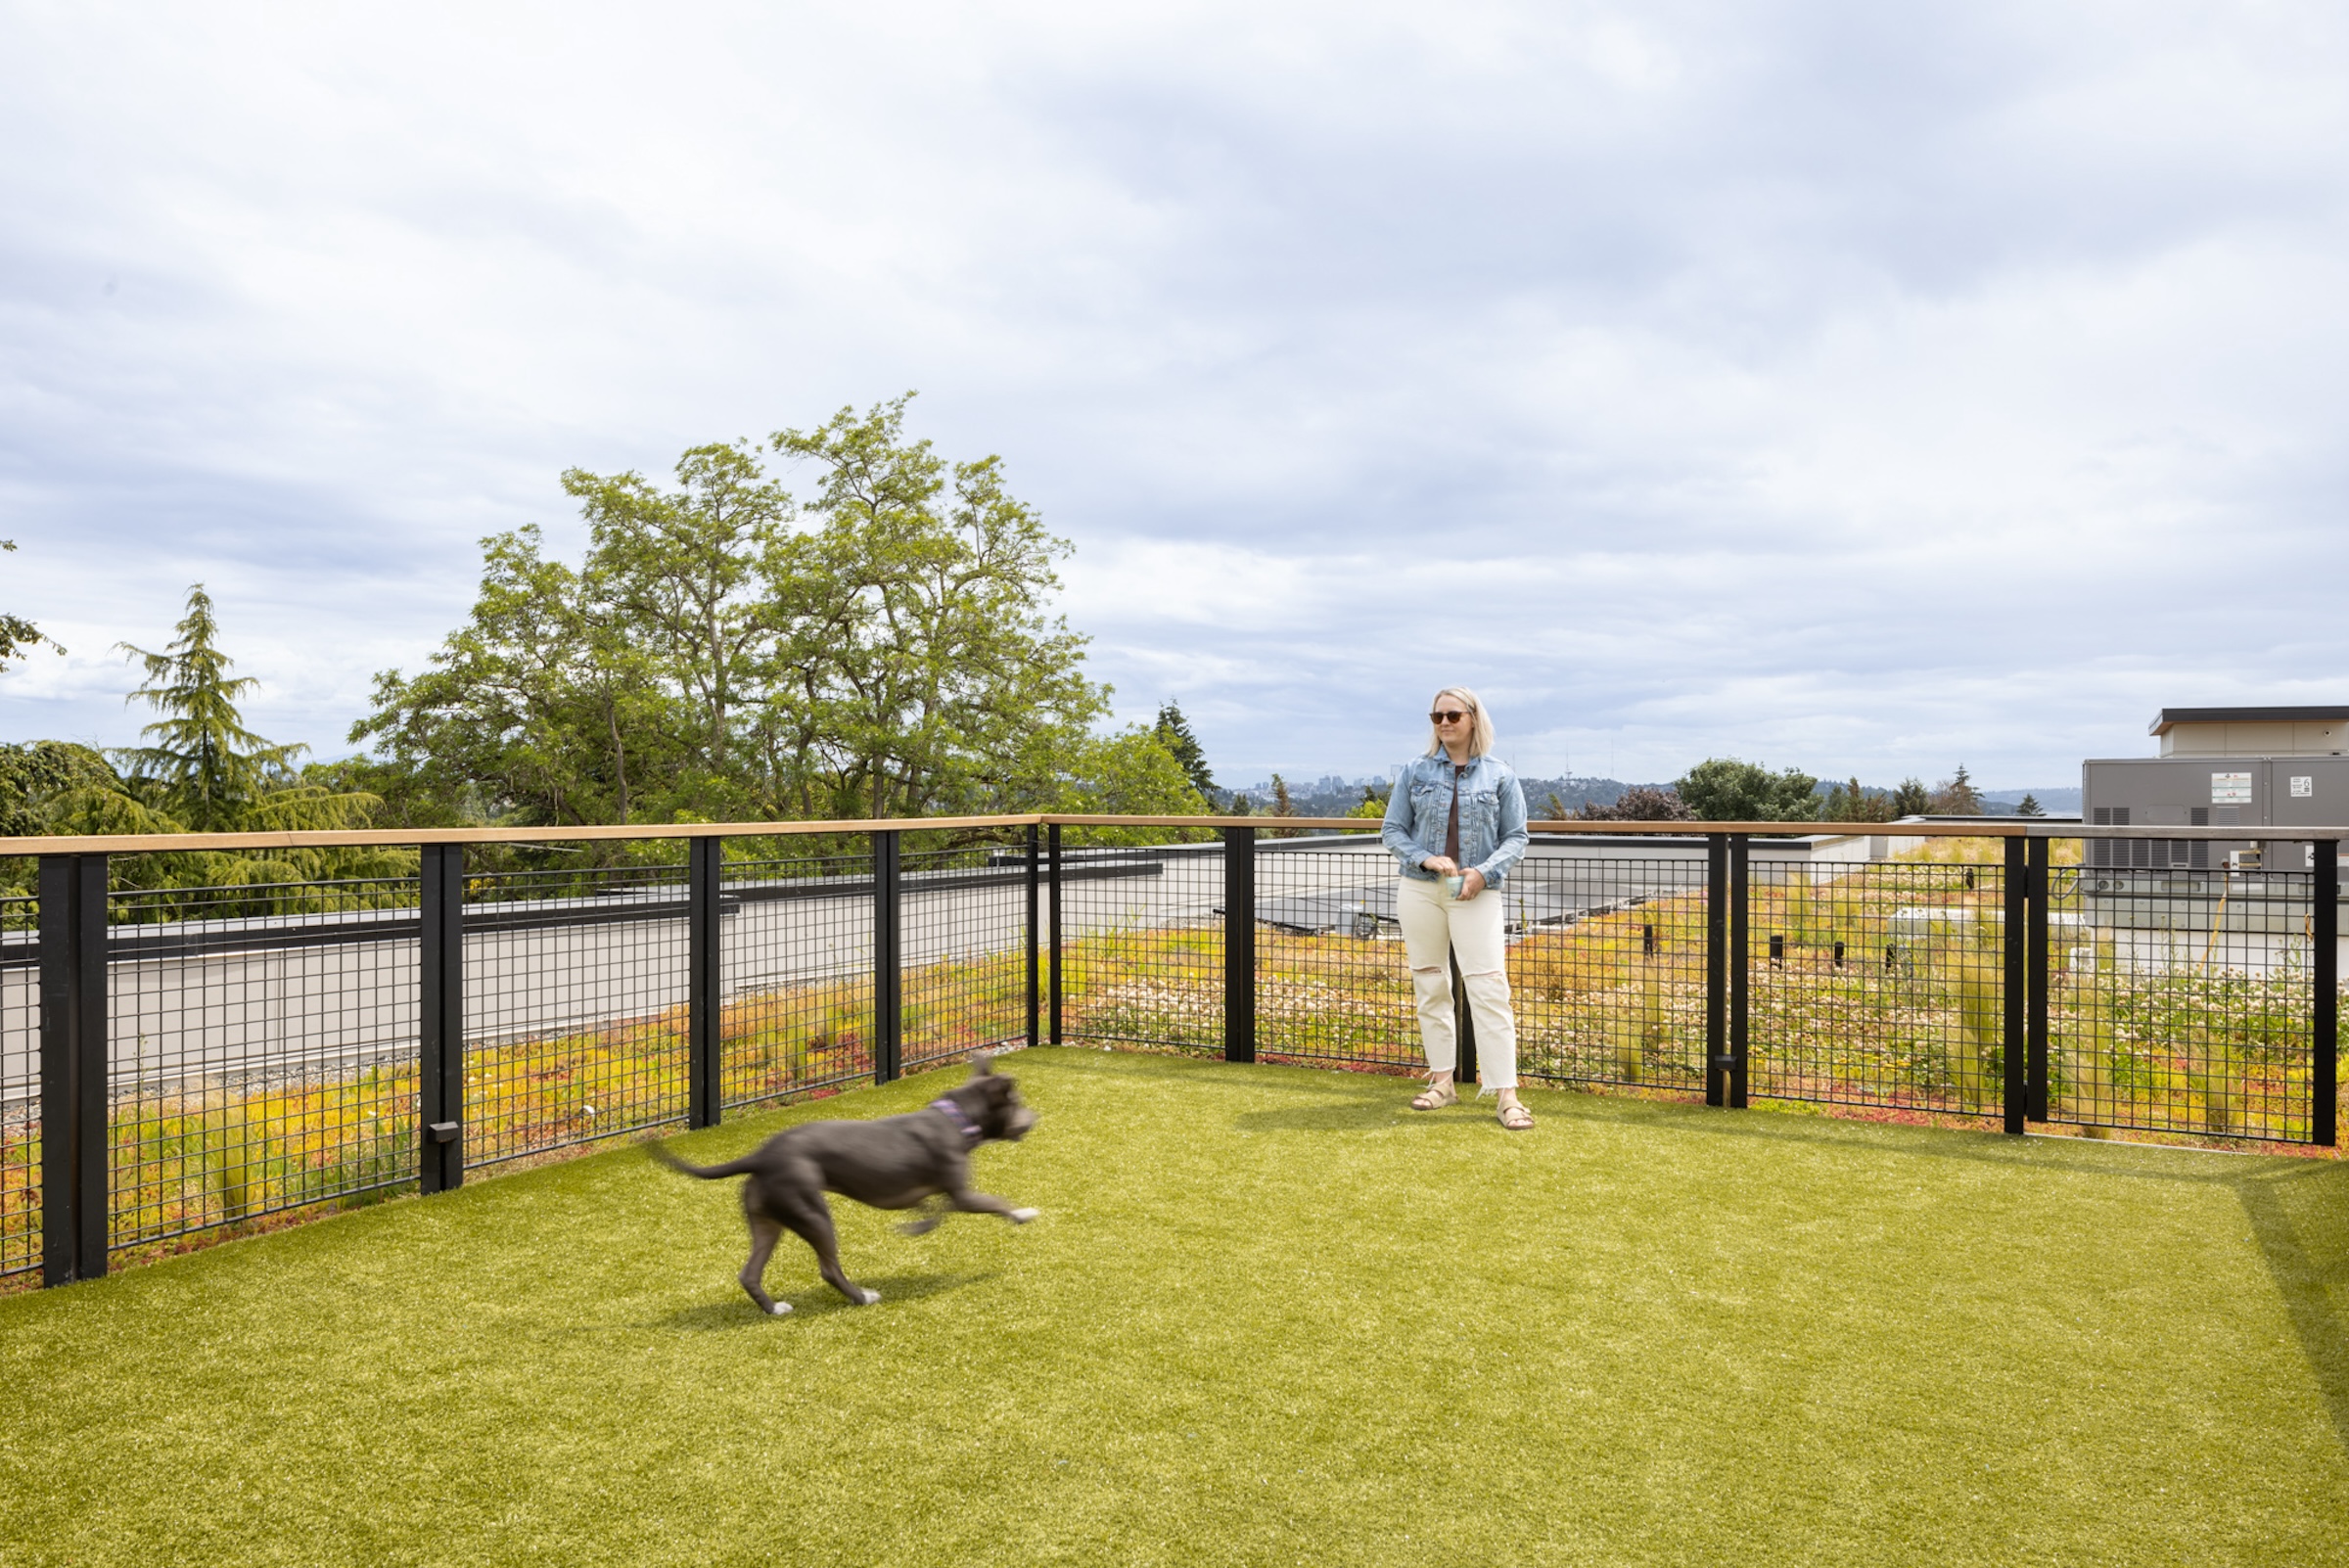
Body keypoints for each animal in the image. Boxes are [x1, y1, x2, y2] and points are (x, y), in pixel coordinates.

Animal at [653, 1051, 1037, 1314]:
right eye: (1018, 1102)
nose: (1036, 1116)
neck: (955, 1118)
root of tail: (762, 1156)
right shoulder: (962, 1194)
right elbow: (993, 1203)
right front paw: (1024, 1213)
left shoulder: (939, 1193)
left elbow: (934, 1210)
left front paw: (917, 1226)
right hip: (812, 1213)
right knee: (828, 1268)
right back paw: (862, 1297)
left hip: (768, 1220)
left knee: (749, 1272)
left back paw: (774, 1308)